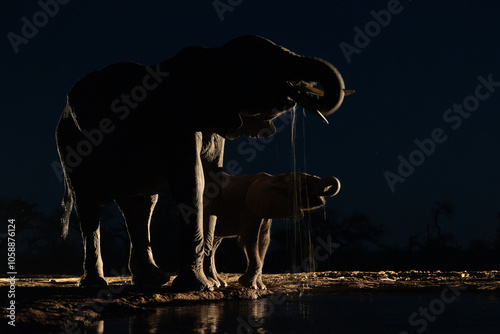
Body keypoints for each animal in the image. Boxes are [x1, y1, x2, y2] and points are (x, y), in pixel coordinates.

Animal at [203, 171, 340, 288]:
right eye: (304, 184)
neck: (277, 178)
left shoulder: (265, 208)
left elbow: (264, 241)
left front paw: (260, 287)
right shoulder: (248, 207)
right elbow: (249, 239)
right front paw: (249, 285)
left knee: (214, 244)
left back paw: (219, 283)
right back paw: (215, 283)